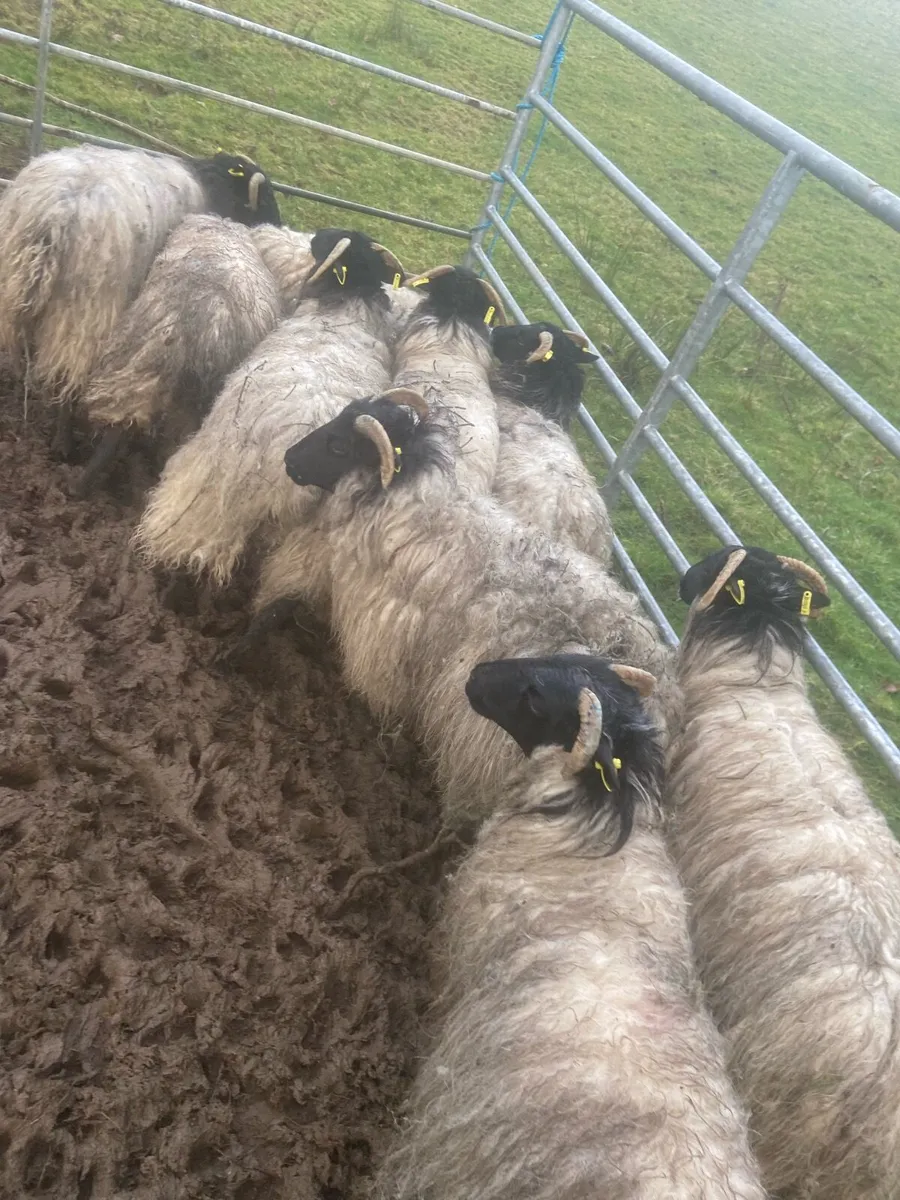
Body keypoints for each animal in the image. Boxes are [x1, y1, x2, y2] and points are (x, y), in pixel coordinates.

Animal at [0, 144, 281, 425]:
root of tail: (53, 215)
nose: (277, 225)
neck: (213, 184)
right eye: (266, 199)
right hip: (81, 314)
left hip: (13, 284)